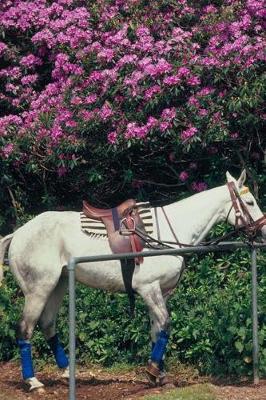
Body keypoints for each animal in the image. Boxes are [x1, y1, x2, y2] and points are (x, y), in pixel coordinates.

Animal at [0, 170, 264, 390]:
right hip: (38, 289)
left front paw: (159, 376)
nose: (262, 231)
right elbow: (166, 324)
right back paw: (33, 381)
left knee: (47, 324)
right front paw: (153, 370)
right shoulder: (149, 289)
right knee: (25, 328)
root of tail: (18, 234)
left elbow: (157, 331)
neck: (169, 233)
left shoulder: (160, 292)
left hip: (59, 284)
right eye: (250, 202)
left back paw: (66, 372)